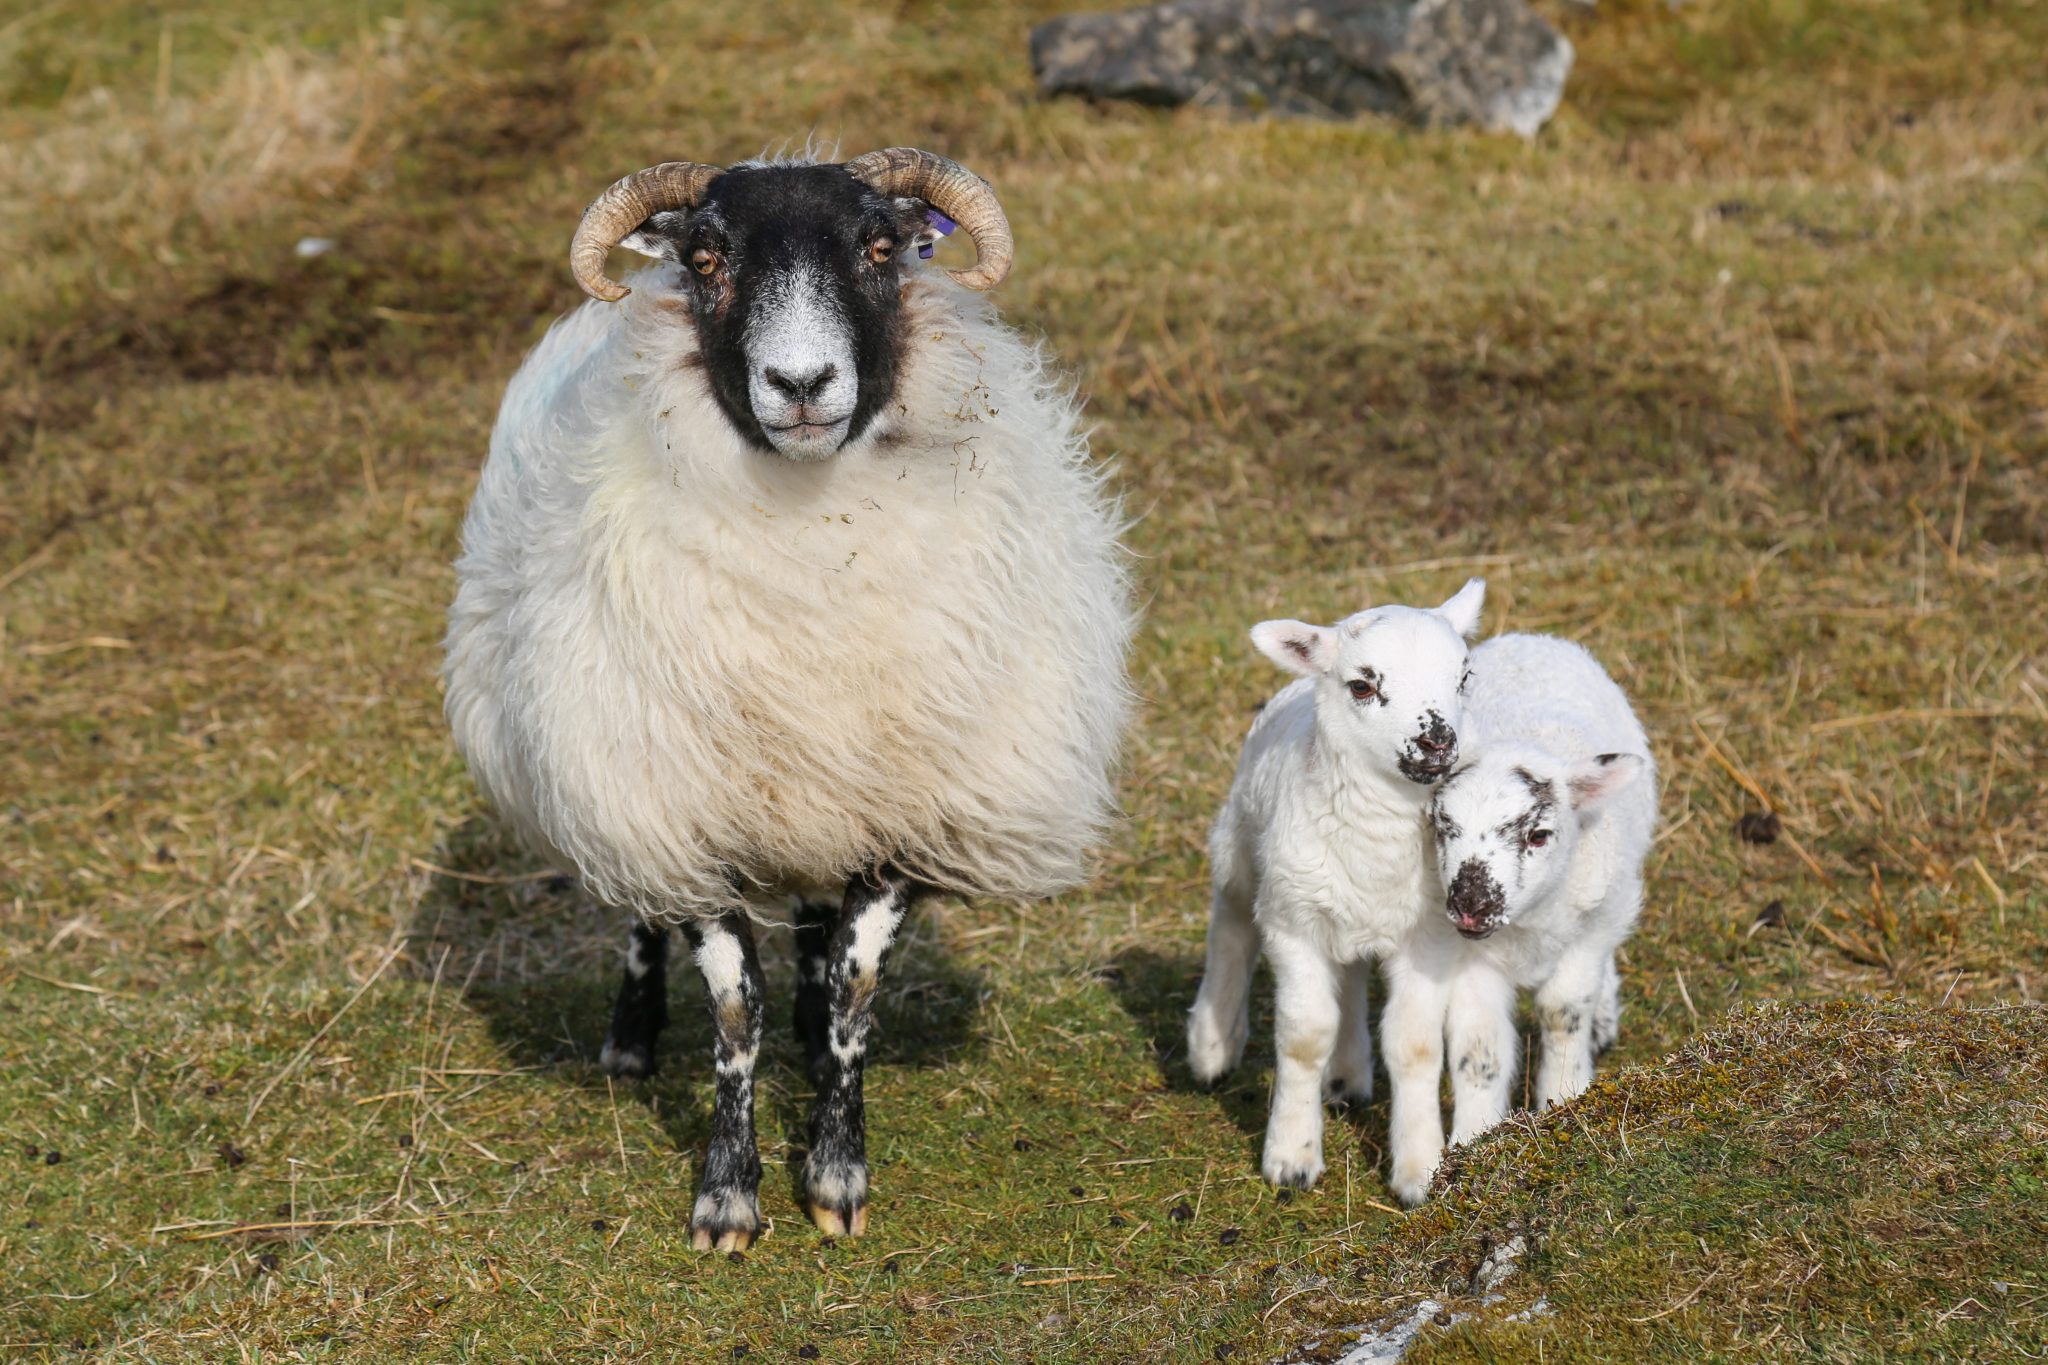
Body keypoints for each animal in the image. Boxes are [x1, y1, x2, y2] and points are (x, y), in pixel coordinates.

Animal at [441, 148, 1135, 1251]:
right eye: (706, 257)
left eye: (883, 246)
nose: (801, 383)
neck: (815, 543)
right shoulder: (682, 809)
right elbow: (734, 1015)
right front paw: (726, 1194)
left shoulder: (903, 808)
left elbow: (853, 993)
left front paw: (836, 1172)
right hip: (613, 765)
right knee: (641, 914)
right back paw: (630, 1038)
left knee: (815, 924)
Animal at [1185, 580, 1486, 1188]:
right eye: (1362, 685)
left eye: (1464, 677)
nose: (1438, 742)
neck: (1377, 839)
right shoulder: (1292, 927)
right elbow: (1305, 1037)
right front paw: (1290, 1158)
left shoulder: (1428, 938)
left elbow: (1415, 1045)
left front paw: (1419, 1169)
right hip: (1242, 845)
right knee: (1231, 924)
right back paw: (1211, 1048)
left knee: (1348, 974)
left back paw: (1347, 1078)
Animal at [1382, 631, 1656, 1206]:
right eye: (1442, 825)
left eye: (1539, 835)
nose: (1471, 903)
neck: (1528, 925)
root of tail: (1532, 637)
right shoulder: (1467, 956)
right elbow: (1479, 1048)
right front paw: (1474, 1144)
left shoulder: (1589, 931)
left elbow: (1561, 1013)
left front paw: (1565, 1101)